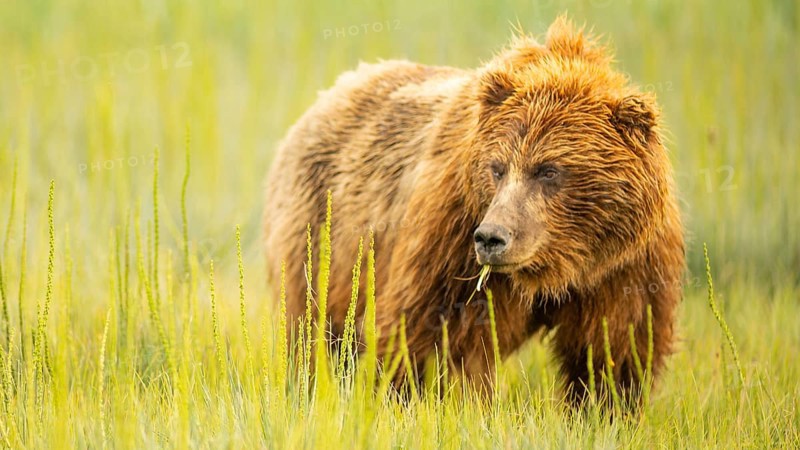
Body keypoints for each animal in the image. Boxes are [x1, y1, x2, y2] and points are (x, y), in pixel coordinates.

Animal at [263, 16, 685, 406]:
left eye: (549, 170)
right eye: (497, 168)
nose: (492, 237)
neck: (556, 266)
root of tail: (330, 92)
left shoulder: (625, 264)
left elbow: (615, 350)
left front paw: (602, 408)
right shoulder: (451, 238)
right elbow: (426, 335)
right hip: (321, 235)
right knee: (313, 328)